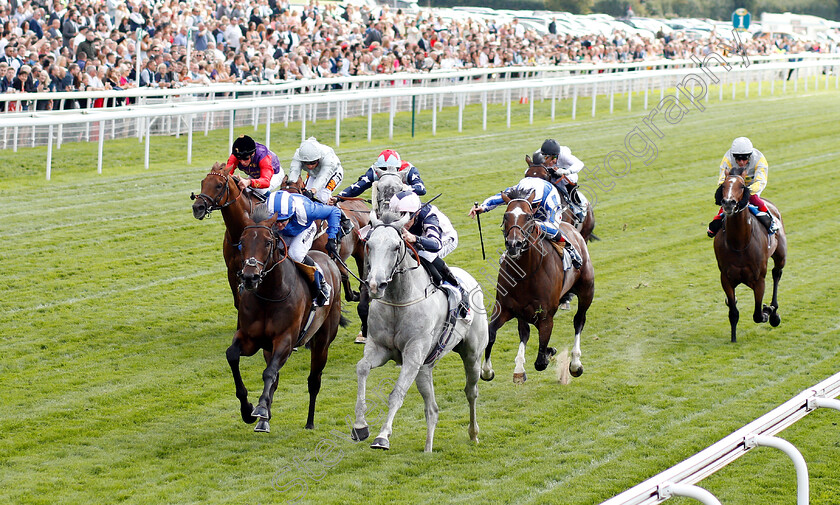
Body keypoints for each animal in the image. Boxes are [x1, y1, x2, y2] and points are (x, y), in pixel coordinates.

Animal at [190, 161, 262, 308]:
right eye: (202, 182)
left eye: (219, 185)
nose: (197, 208)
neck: (238, 233)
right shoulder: (232, 270)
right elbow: (238, 302)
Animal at [228, 203, 346, 432]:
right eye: (242, 243)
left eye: (267, 242)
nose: (250, 277)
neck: (269, 295)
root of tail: (330, 262)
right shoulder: (250, 338)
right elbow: (233, 356)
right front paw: (248, 410)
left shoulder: (286, 339)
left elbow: (269, 373)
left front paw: (260, 408)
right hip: (268, 347)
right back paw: (263, 421)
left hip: (323, 340)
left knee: (314, 380)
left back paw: (309, 422)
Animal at [352, 211, 488, 450]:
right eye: (369, 244)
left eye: (396, 246)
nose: (376, 285)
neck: (399, 300)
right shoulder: (379, 348)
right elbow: (362, 368)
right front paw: (360, 425)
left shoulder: (413, 354)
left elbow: (397, 393)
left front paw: (382, 436)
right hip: (425, 368)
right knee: (432, 409)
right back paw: (428, 449)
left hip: (472, 355)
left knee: (471, 392)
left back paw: (473, 433)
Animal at [482, 188, 592, 382]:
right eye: (506, 215)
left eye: (528, 217)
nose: (514, 244)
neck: (525, 273)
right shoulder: (504, 308)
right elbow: (491, 334)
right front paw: (487, 370)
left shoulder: (546, 316)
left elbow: (540, 360)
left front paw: (549, 352)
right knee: (524, 331)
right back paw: (519, 368)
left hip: (587, 290)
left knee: (579, 320)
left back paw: (575, 363)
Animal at [716, 169, 788, 342]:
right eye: (723, 185)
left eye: (742, 186)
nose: (728, 203)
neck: (739, 243)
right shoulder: (726, 278)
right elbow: (733, 312)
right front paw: (733, 338)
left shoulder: (758, 279)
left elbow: (757, 315)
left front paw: (767, 311)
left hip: (780, 255)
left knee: (777, 273)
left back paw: (774, 312)